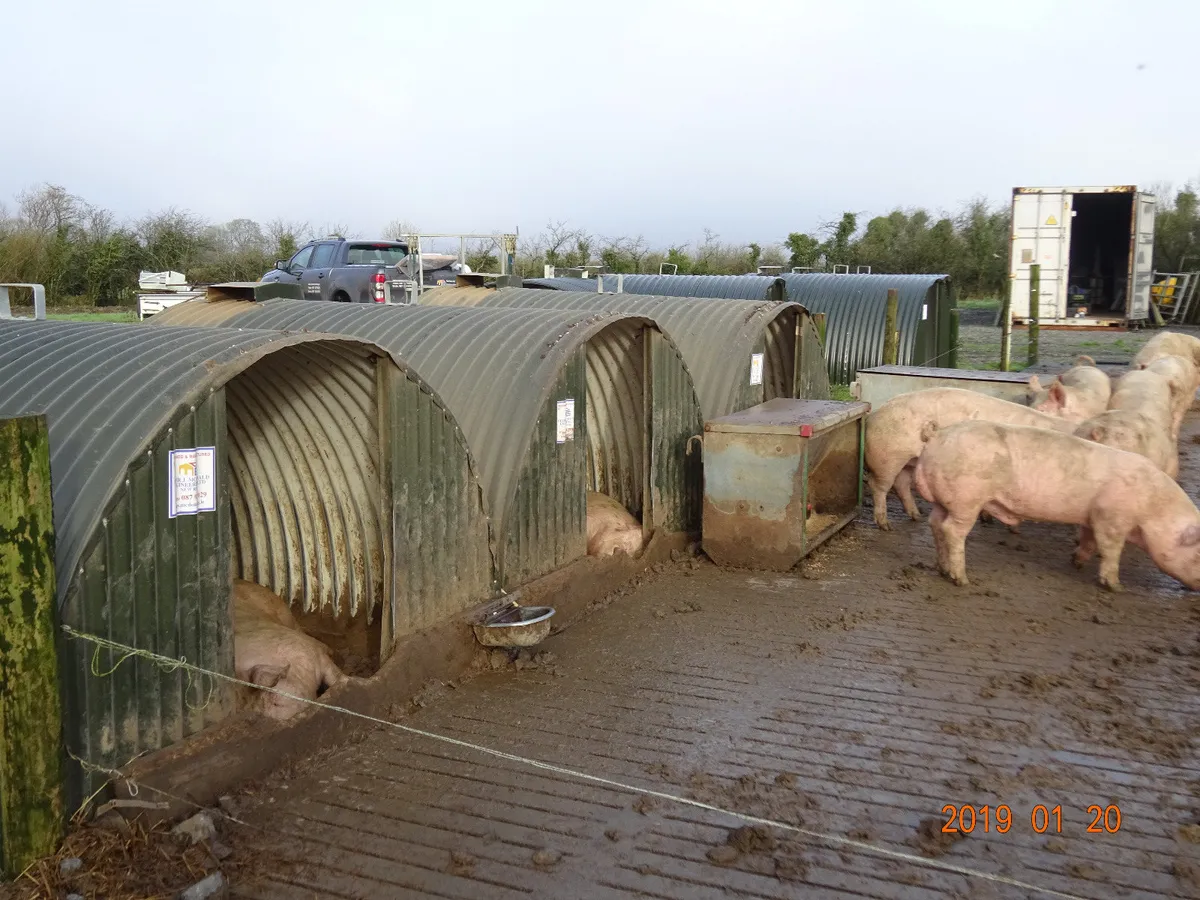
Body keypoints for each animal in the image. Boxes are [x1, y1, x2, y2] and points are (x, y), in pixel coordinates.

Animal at [868, 388, 1075, 528]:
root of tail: (876, 412)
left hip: (909, 461)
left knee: (901, 484)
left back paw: (917, 516)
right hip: (888, 458)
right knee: (878, 486)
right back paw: (885, 525)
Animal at [912, 422, 1200, 595]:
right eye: (1198, 555)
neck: (1153, 508)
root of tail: (936, 435)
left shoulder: (1092, 517)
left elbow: (1089, 541)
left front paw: (1077, 563)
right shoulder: (1111, 518)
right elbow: (1110, 550)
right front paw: (1116, 587)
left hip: (944, 501)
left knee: (935, 524)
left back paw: (943, 569)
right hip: (967, 499)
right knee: (952, 531)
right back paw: (961, 579)